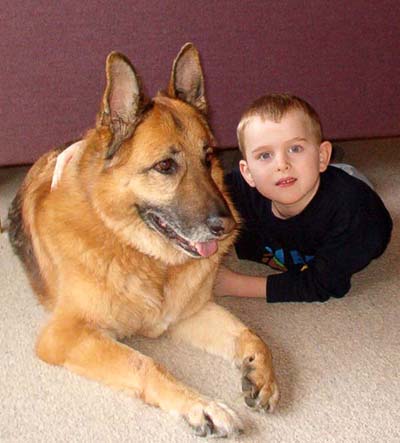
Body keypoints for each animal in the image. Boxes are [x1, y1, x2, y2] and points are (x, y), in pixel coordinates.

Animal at [8, 43, 279, 437]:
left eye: (209, 157)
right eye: (165, 166)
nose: (228, 226)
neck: (138, 251)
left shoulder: (189, 314)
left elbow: (252, 334)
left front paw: (261, 372)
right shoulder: (64, 335)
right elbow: (146, 364)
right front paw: (201, 406)